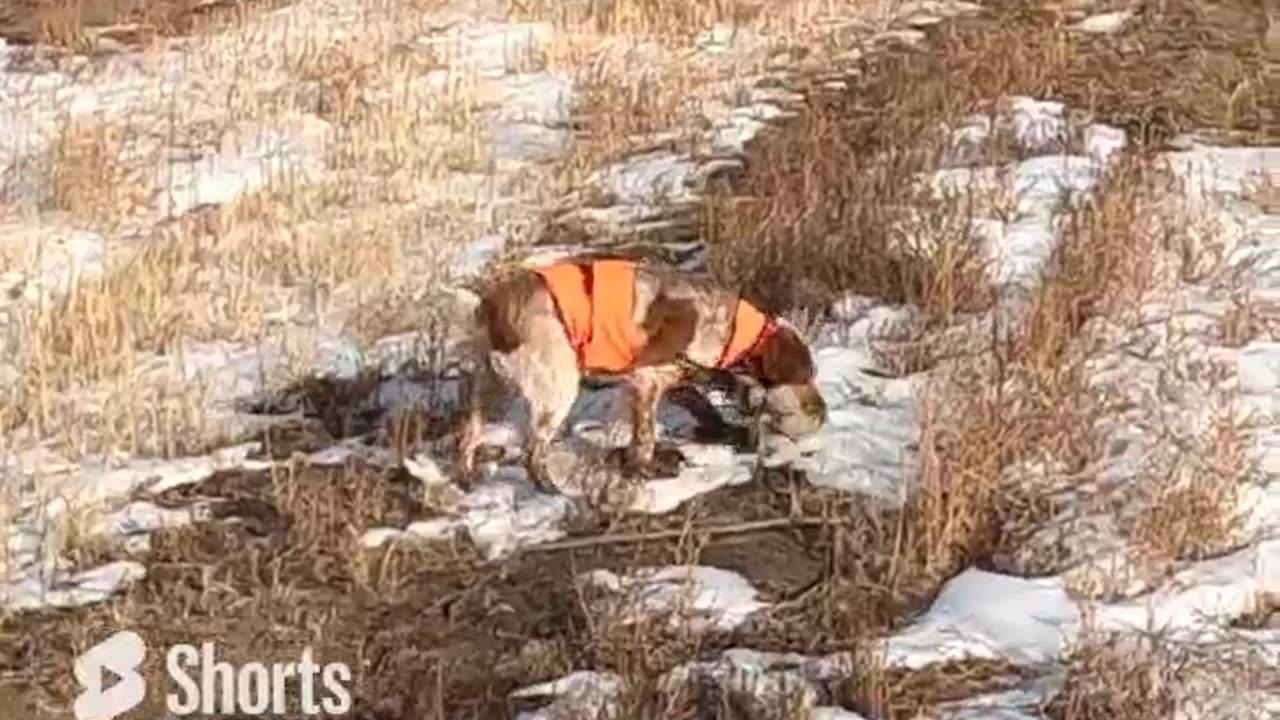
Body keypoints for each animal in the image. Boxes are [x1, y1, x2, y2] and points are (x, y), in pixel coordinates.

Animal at [455, 253, 824, 491]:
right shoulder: (645, 379)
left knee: (468, 434)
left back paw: (467, 477)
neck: (729, 326)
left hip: (490, 387)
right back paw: (550, 489)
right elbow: (645, 438)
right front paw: (642, 469)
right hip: (557, 390)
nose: (821, 409)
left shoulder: (669, 378)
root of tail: (494, 307)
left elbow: (700, 405)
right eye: (805, 375)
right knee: (531, 452)